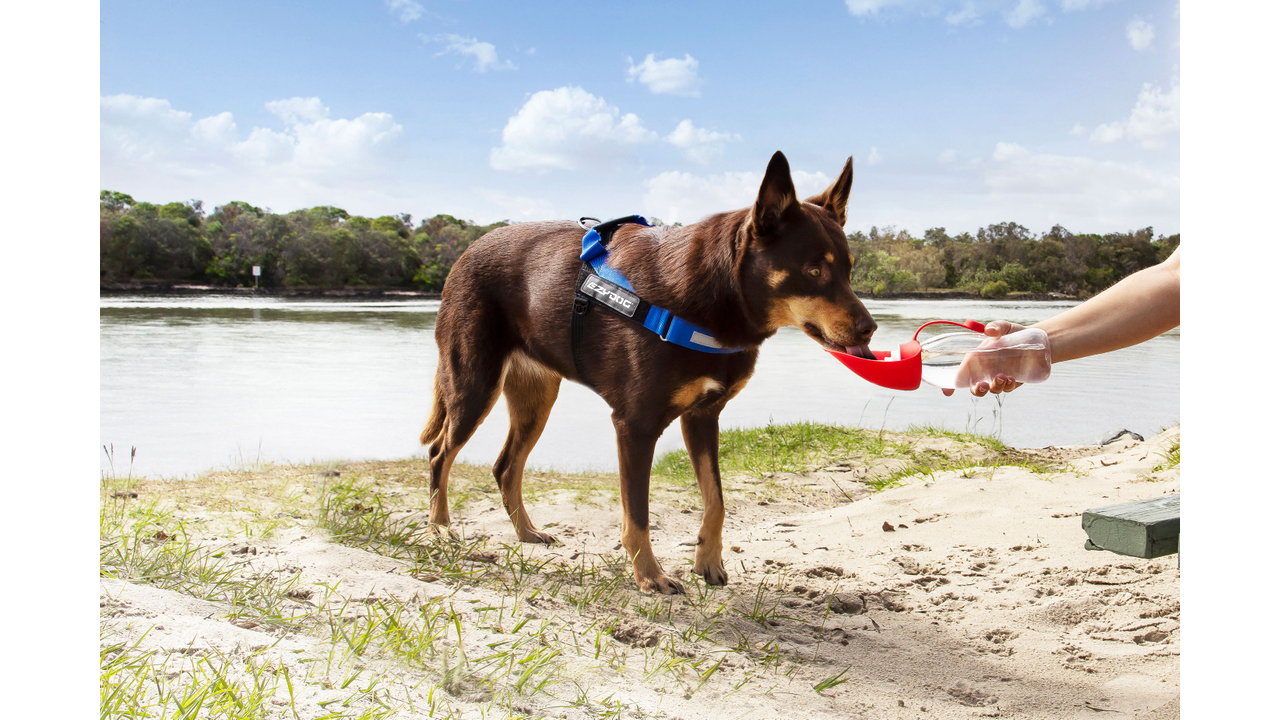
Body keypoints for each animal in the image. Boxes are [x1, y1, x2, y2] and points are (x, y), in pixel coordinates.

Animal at [419, 149, 880, 589]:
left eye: (848, 269)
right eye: (813, 270)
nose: (870, 328)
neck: (715, 297)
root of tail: (467, 252)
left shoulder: (703, 416)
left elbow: (716, 500)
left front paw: (707, 561)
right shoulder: (635, 425)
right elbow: (637, 515)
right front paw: (649, 576)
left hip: (536, 402)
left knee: (505, 467)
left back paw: (526, 532)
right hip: (474, 385)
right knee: (440, 453)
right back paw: (439, 528)